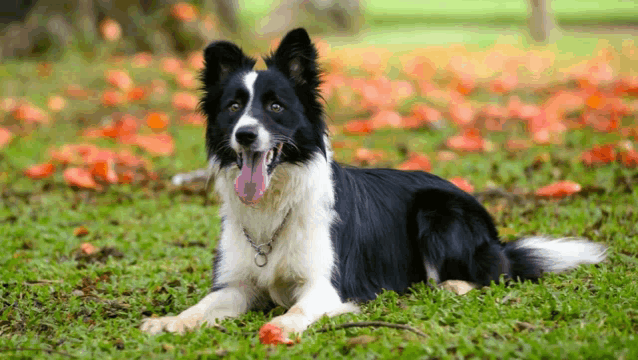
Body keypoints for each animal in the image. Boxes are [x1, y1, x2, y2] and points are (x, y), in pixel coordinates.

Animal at [141, 27, 608, 344]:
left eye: (275, 106)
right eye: (234, 107)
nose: (245, 135)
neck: (275, 205)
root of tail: (494, 234)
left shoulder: (326, 285)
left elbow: (300, 307)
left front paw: (282, 325)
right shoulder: (237, 285)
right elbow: (203, 305)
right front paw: (170, 321)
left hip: (437, 212)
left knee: (494, 273)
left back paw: (453, 285)